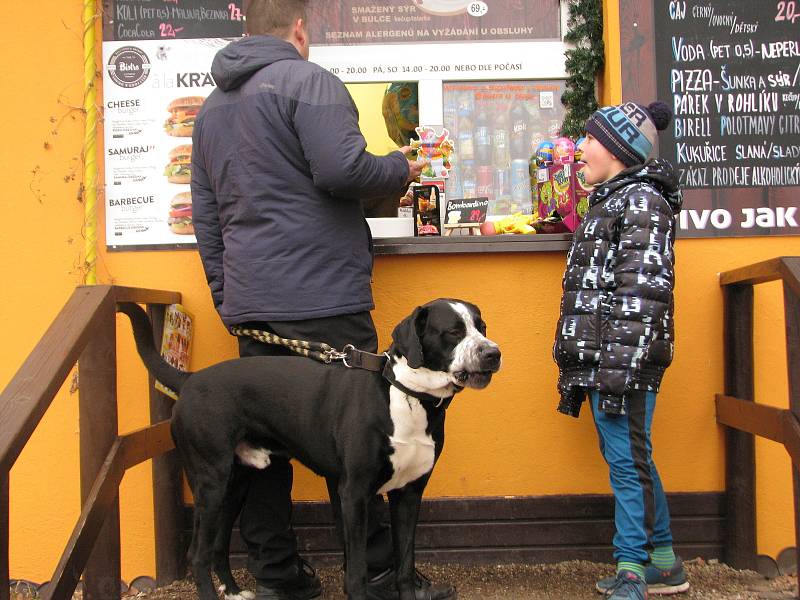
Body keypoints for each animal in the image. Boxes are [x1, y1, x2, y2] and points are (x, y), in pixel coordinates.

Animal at [119, 298, 500, 600]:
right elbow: (357, 571)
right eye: (452, 332)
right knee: (198, 554)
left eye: (481, 326)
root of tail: (190, 379)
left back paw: (234, 590)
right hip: (210, 482)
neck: (406, 394)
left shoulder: (409, 493)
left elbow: (405, 566)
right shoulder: (354, 494)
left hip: (234, 485)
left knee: (216, 545)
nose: (493, 353)